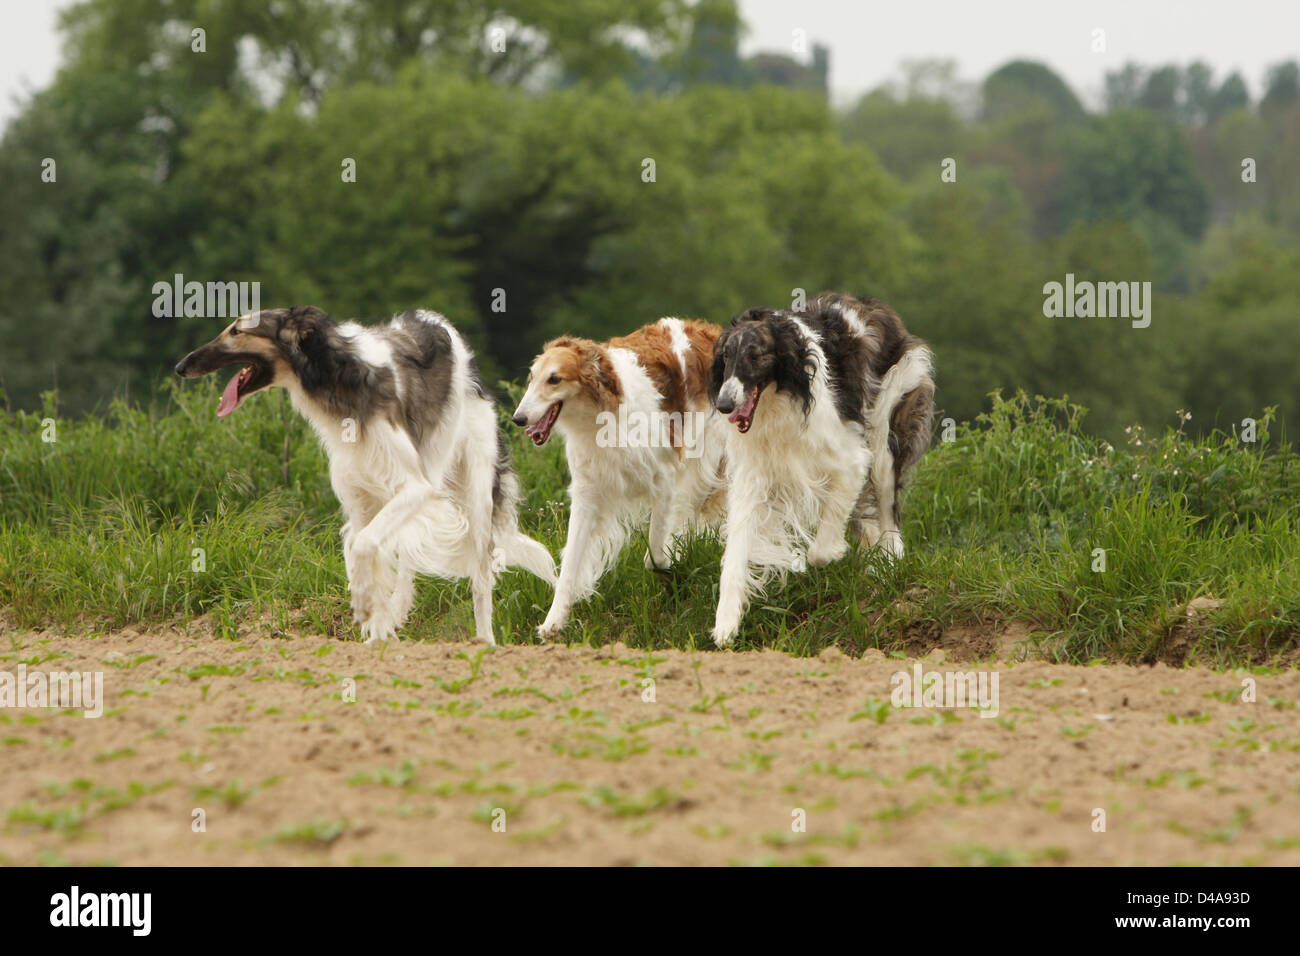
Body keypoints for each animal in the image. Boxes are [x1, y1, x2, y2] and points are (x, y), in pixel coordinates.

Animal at [176, 310, 553, 647]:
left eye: (237, 330)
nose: (180, 366)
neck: (340, 377)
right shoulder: (360, 498)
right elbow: (366, 550)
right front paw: (377, 628)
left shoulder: (415, 487)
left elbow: (364, 547)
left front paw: (363, 605)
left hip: (472, 494)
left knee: (479, 578)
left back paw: (484, 641)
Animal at [509, 317, 733, 639]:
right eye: (531, 377)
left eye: (554, 379)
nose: (518, 418)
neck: (601, 414)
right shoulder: (588, 493)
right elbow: (570, 565)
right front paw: (554, 621)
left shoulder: (665, 482)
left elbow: (656, 554)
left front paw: (672, 560)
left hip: (701, 461)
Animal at [712, 295, 935, 647]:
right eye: (726, 356)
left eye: (756, 356)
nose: (724, 405)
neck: (781, 397)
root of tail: (877, 306)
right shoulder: (754, 475)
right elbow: (735, 552)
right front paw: (725, 624)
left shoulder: (852, 458)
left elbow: (822, 543)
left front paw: (827, 554)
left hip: (884, 436)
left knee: (889, 515)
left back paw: (887, 564)